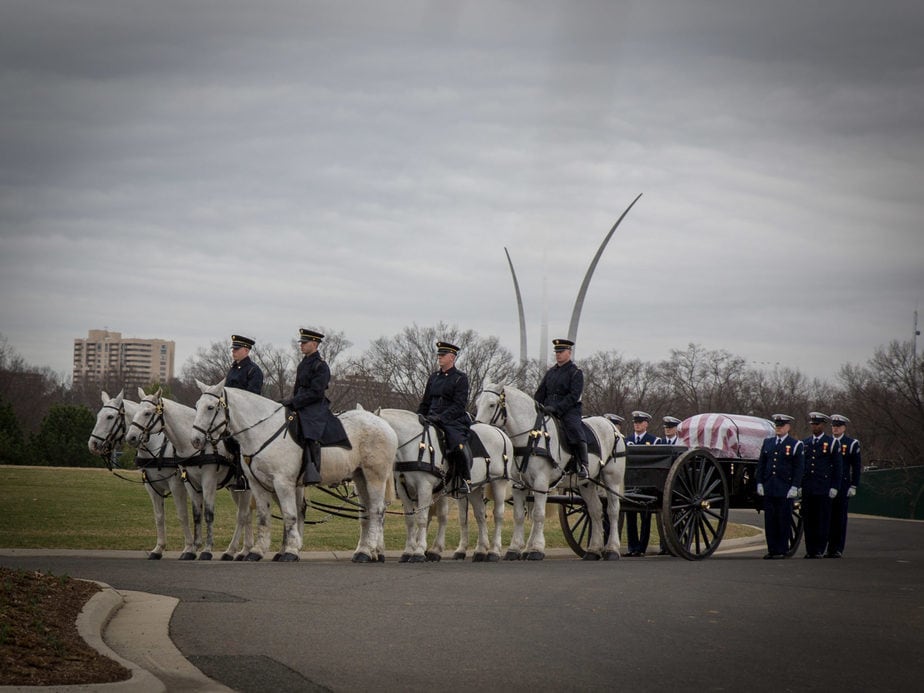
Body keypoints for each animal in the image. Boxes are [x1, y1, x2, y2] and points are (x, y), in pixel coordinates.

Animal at [88, 386, 199, 560]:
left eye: (110, 416)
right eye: (99, 415)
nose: (92, 444)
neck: (156, 446)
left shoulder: (176, 485)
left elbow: (182, 515)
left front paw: (189, 549)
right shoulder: (152, 486)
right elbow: (159, 517)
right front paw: (158, 549)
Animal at [124, 386, 253, 560]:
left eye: (147, 413)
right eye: (136, 411)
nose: (130, 437)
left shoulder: (205, 482)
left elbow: (205, 515)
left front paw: (206, 550)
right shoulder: (186, 483)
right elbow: (192, 515)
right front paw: (189, 549)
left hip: (247, 488)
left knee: (242, 515)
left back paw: (233, 550)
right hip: (235, 488)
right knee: (247, 514)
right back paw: (244, 551)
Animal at [191, 378, 398, 564]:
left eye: (210, 407)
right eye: (197, 405)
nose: (195, 440)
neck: (263, 430)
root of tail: (384, 424)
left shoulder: (283, 484)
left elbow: (290, 515)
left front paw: (290, 550)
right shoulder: (258, 485)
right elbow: (263, 517)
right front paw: (257, 551)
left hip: (375, 477)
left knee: (377, 511)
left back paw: (368, 551)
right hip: (360, 478)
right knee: (367, 512)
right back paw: (364, 551)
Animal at [378, 410, 516, 564]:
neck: (414, 447)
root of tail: (500, 432)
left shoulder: (425, 488)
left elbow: (422, 519)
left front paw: (419, 552)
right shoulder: (404, 489)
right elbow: (410, 521)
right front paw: (408, 552)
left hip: (498, 483)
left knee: (498, 514)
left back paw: (494, 551)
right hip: (474, 488)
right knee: (480, 515)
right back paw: (480, 550)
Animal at [472, 382, 624, 560]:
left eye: (492, 404)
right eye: (477, 404)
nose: (478, 428)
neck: (531, 437)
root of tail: (611, 425)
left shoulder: (541, 483)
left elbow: (538, 514)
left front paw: (536, 549)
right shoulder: (519, 486)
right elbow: (518, 516)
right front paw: (514, 549)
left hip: (612, 480)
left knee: (613, 511)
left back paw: (612, 549)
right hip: (586, 484)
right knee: (595, 511)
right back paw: (593, 550)